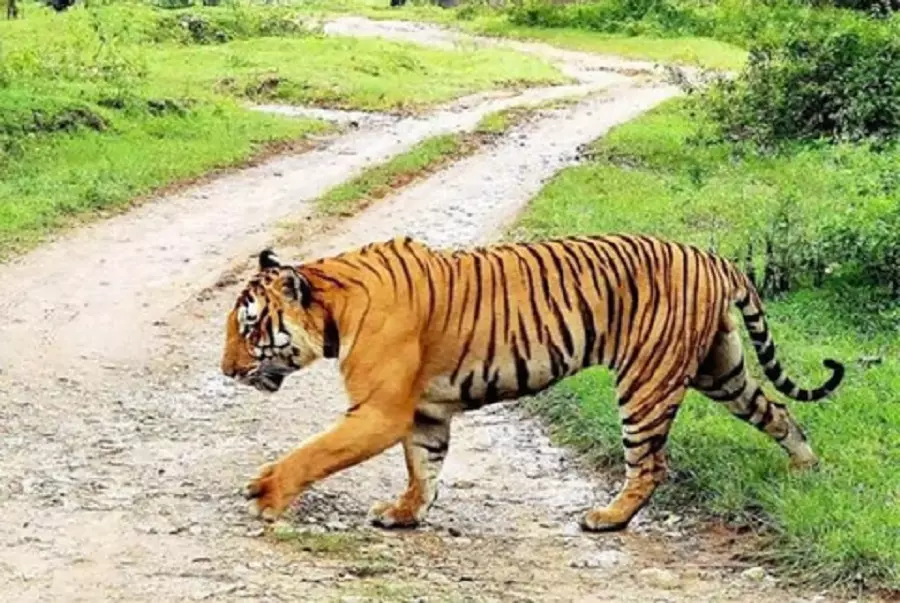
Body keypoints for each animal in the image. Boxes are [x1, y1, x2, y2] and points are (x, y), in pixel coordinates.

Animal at [220, 234, 844, 532]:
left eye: (249, 327)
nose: (225, 370)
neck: (334, 305)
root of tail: (715, 258)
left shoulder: (379, 412)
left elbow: (312, 453)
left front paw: (267, 493)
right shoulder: (424, 413)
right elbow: (425, 467)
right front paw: (406, 514)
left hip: (646, 382)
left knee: (650, 464)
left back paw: (608, 519)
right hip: (722, 369)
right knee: (779, 412)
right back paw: (806, 470)